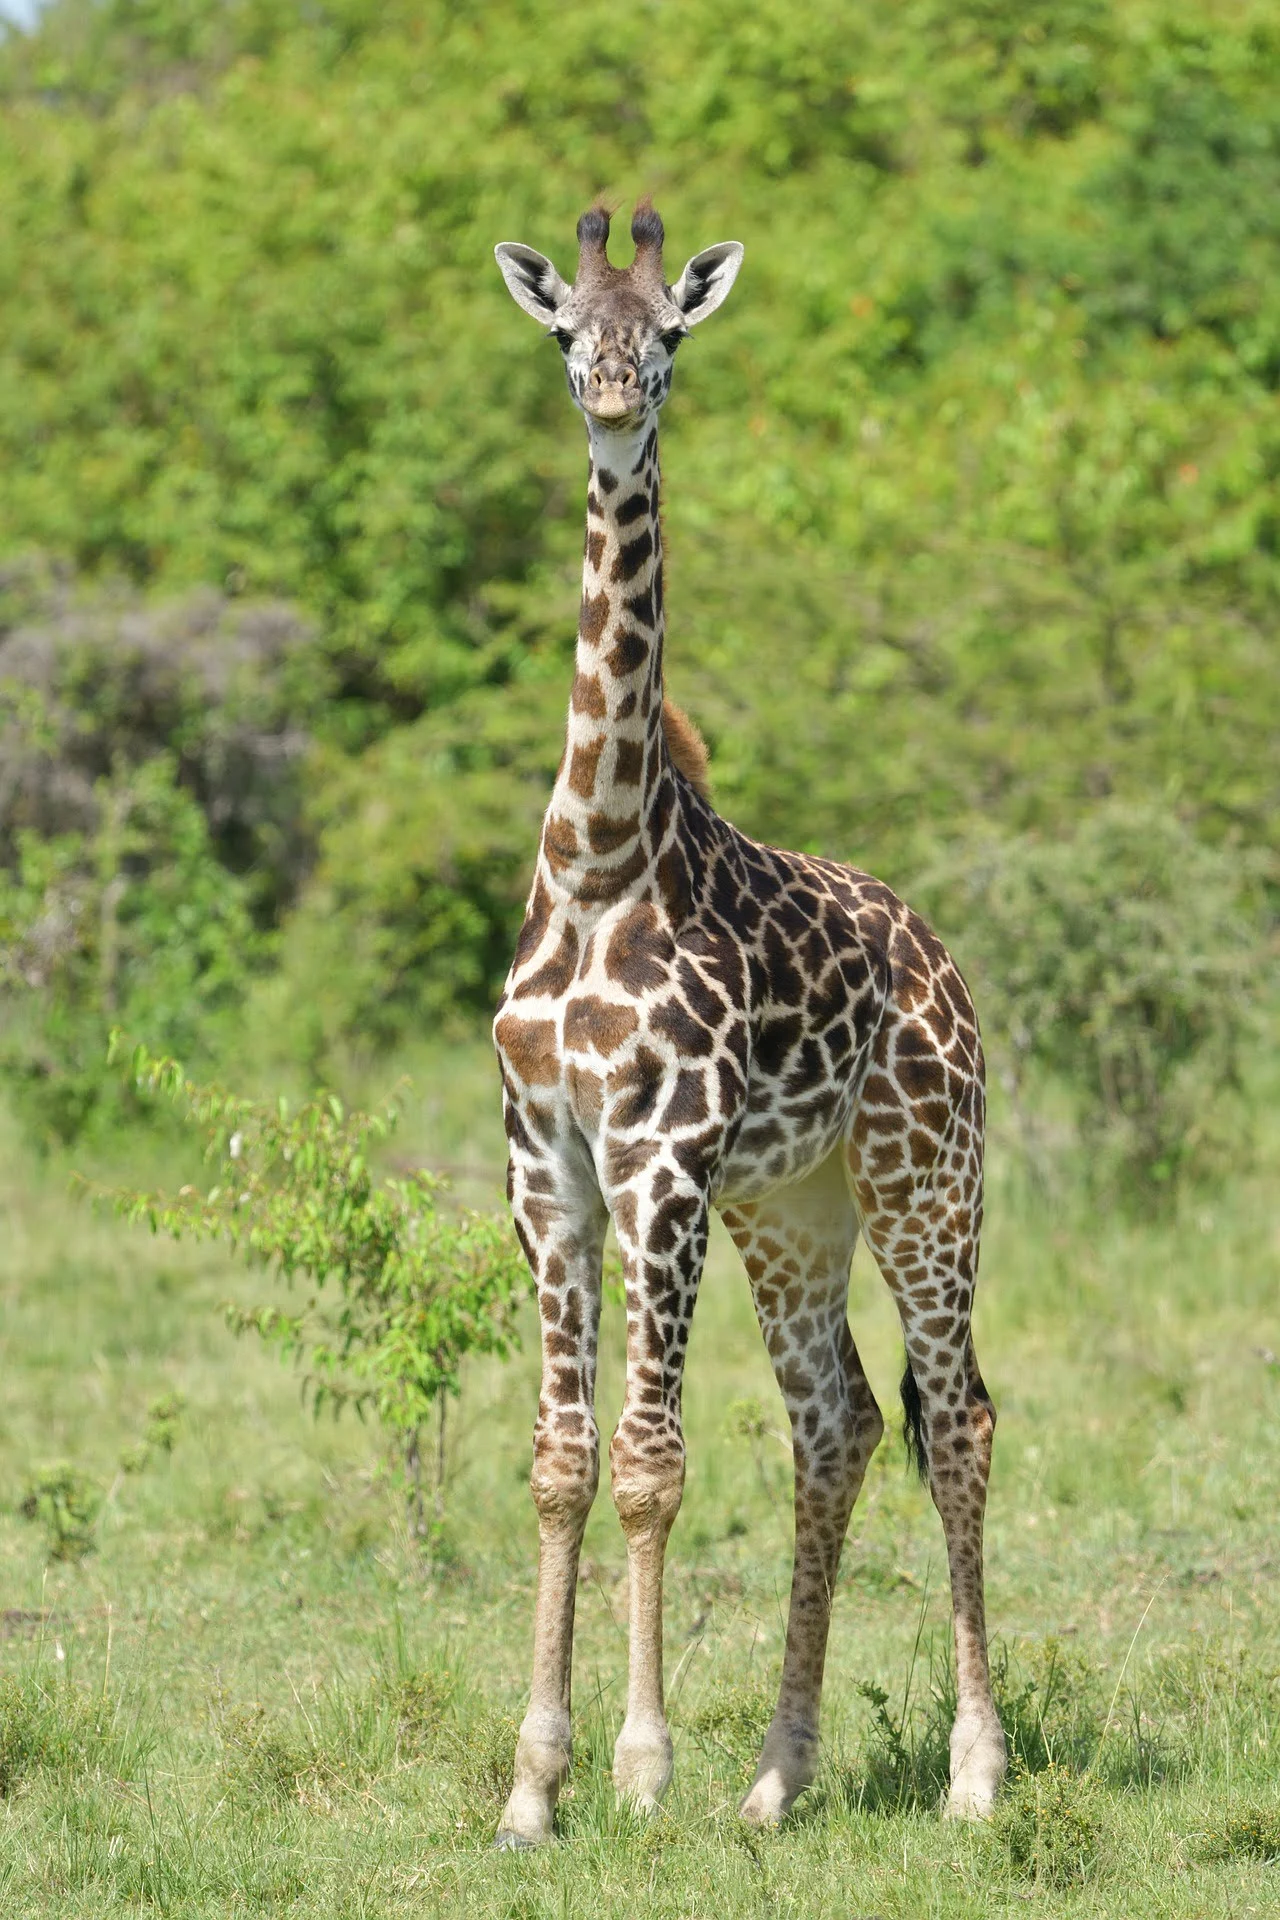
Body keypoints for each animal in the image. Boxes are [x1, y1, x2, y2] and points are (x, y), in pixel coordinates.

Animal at [490, 200, 1006, 1847]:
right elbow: (562, 1461)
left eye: (667, 334)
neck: (597, 856)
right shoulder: (548, 1168)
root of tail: (944, 961)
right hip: (795, 1209)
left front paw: (640, 1771)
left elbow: (652, 1464)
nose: (611, 396)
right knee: (837, 1422)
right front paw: (532, 1789)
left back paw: (976, 1774)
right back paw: (778, 1777)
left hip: (925, 1182)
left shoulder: (660, 1160)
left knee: (955, 1417)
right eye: (566, 326)